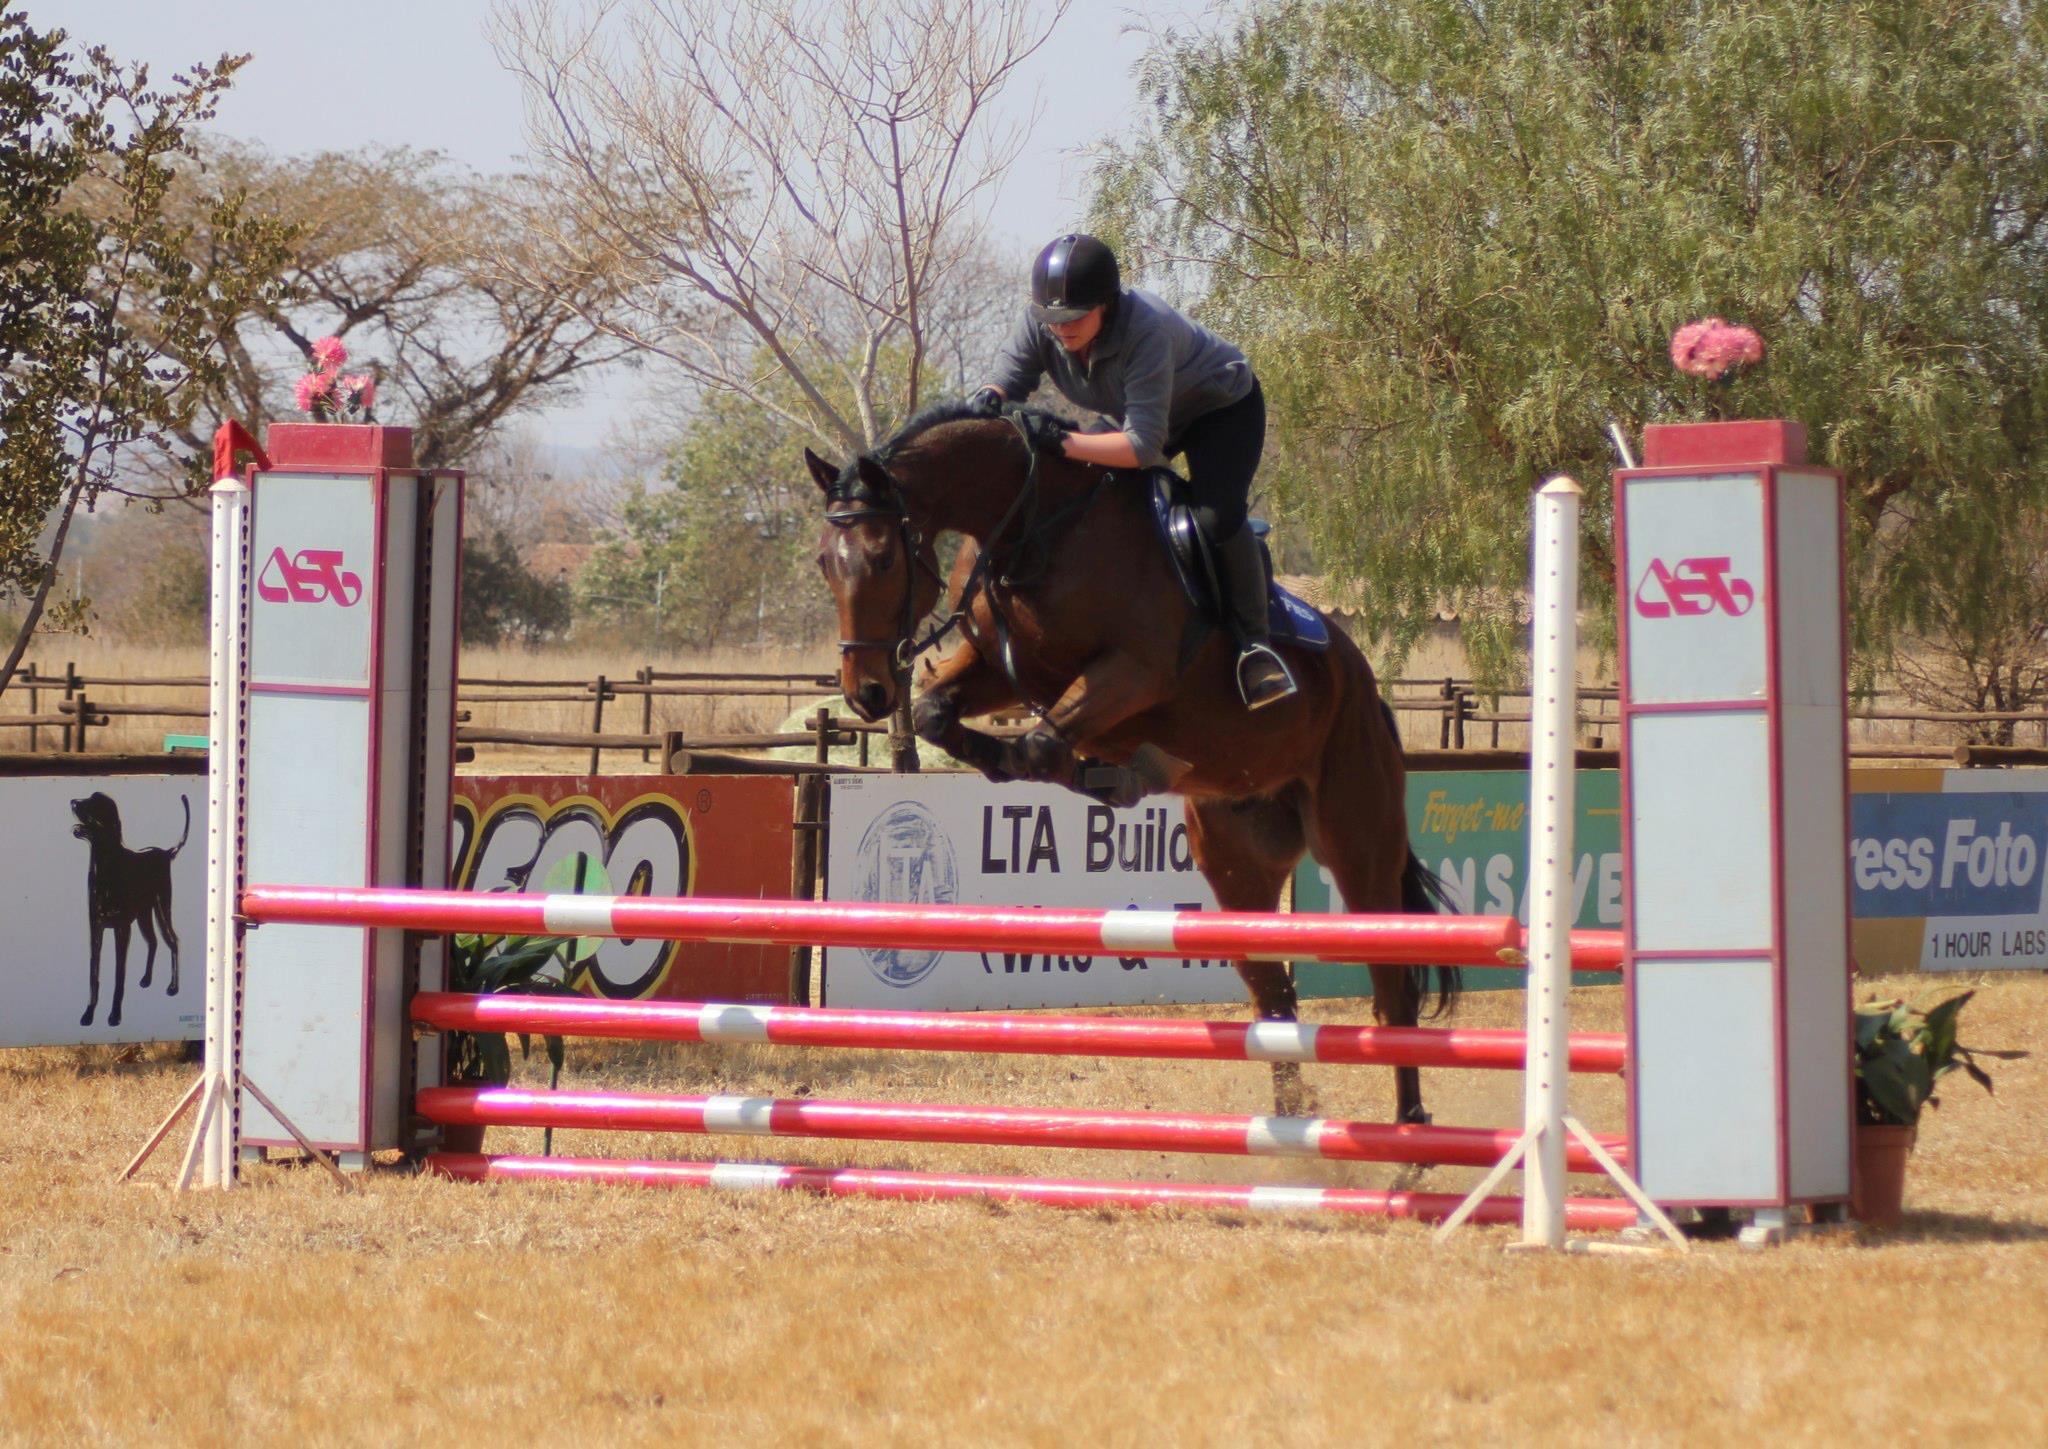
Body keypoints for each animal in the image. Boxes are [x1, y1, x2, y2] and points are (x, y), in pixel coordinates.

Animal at [804, 399, 1459, 1121]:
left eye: (883, 557)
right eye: (824, 563)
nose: (865, 693)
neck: (1032, 526)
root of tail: (1367, 686)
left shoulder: (1134, 671)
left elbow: (1040, 742)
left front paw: (1099, 771)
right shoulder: (1000, 669)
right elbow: (935, 715)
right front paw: (1094, 771)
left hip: (1356, 838)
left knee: (1392, 987)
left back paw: (1409, 1129)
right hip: (1238, 859)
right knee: (1275, 995)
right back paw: (1294, 1132)